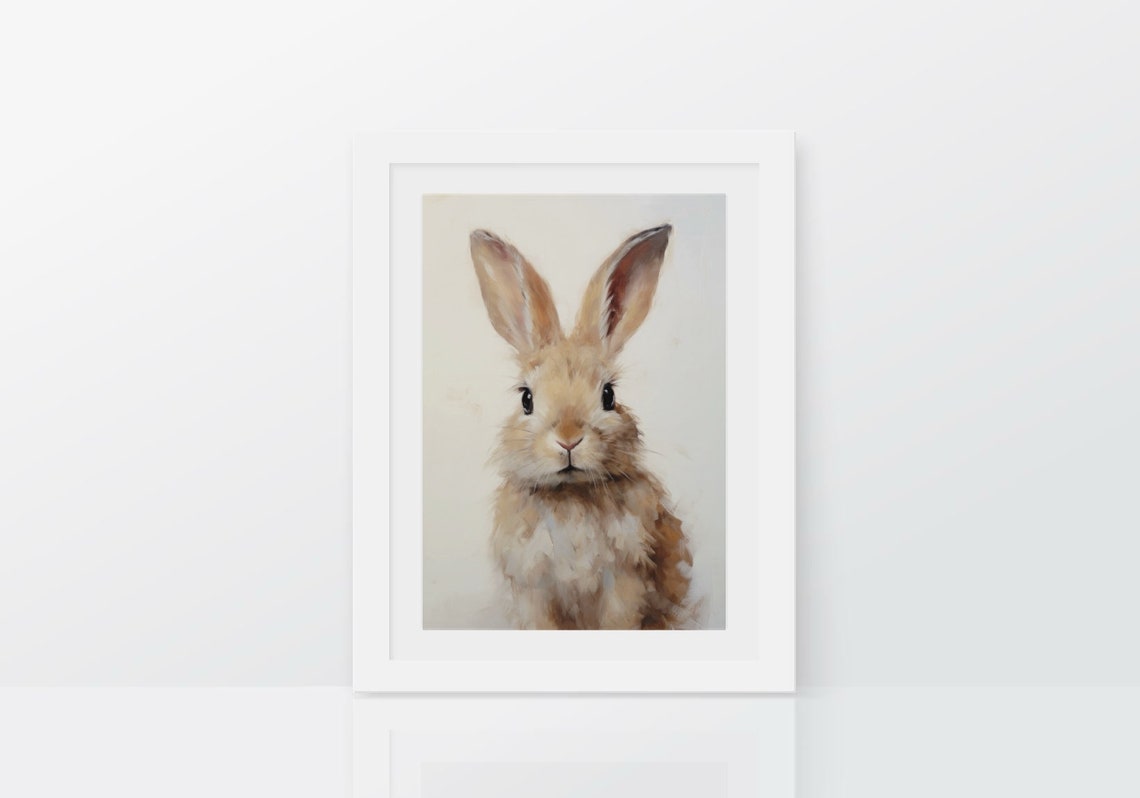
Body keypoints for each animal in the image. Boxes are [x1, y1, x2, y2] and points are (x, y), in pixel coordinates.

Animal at [469, 224, 694, 630]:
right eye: (526, 399)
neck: (570, 495)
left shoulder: (625, 581)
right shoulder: (533, 588)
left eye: (608, 395)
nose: (569, 440)